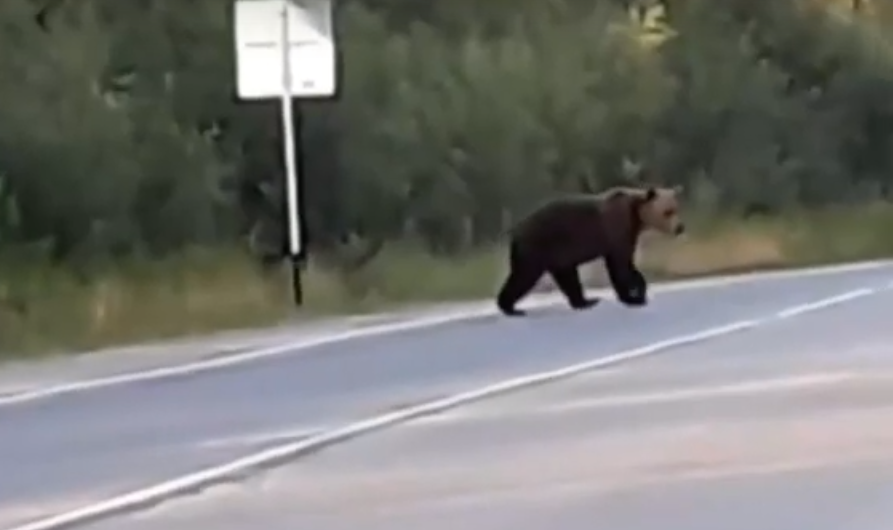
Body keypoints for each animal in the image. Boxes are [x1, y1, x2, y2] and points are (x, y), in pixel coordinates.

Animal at [495, 185, 685, 317]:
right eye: (667, 212)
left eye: (676, 208)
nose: (680, 228)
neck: (636, 216)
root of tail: (515, 230)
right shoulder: (617, 228)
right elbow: (620, 264)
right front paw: (634, 297)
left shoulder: (627, 235)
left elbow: (626, 264)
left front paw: (637, 291)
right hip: (538, 246)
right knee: (524, 276)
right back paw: (510, 308)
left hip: (558, 255)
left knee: (568, 278)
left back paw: (586, 301)